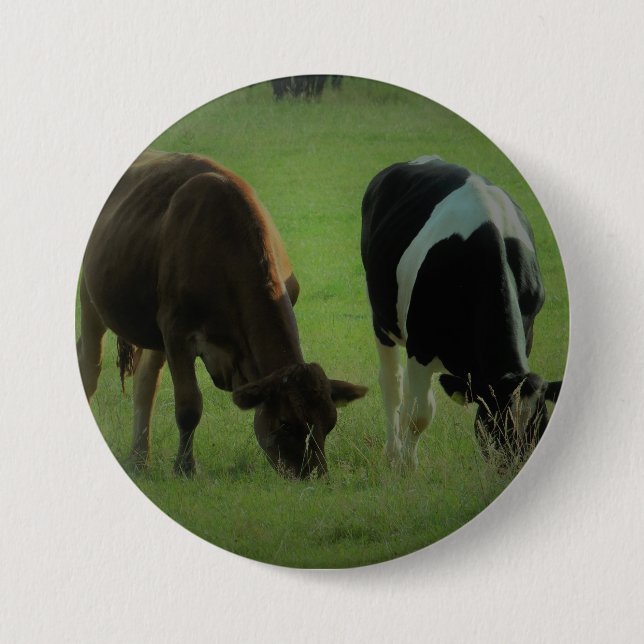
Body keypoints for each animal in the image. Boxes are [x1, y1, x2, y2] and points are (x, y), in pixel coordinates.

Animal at [77, 150, 367, 479]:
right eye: (285, 423)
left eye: (329, 424)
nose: (314, 476)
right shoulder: (176, 330)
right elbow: (189, 406)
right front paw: (185, 468)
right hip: (91, 297)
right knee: (90, 365)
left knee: (145, 382)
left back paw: (139, 459)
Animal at [360, 155, 562, 469]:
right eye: (496, 424)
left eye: (540, 426)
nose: (514, 467)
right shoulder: (420, 346)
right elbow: (420, 414)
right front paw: (407, 467)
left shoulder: (528, 330)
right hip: (383, 320)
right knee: (393, 384)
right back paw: (393, 452)